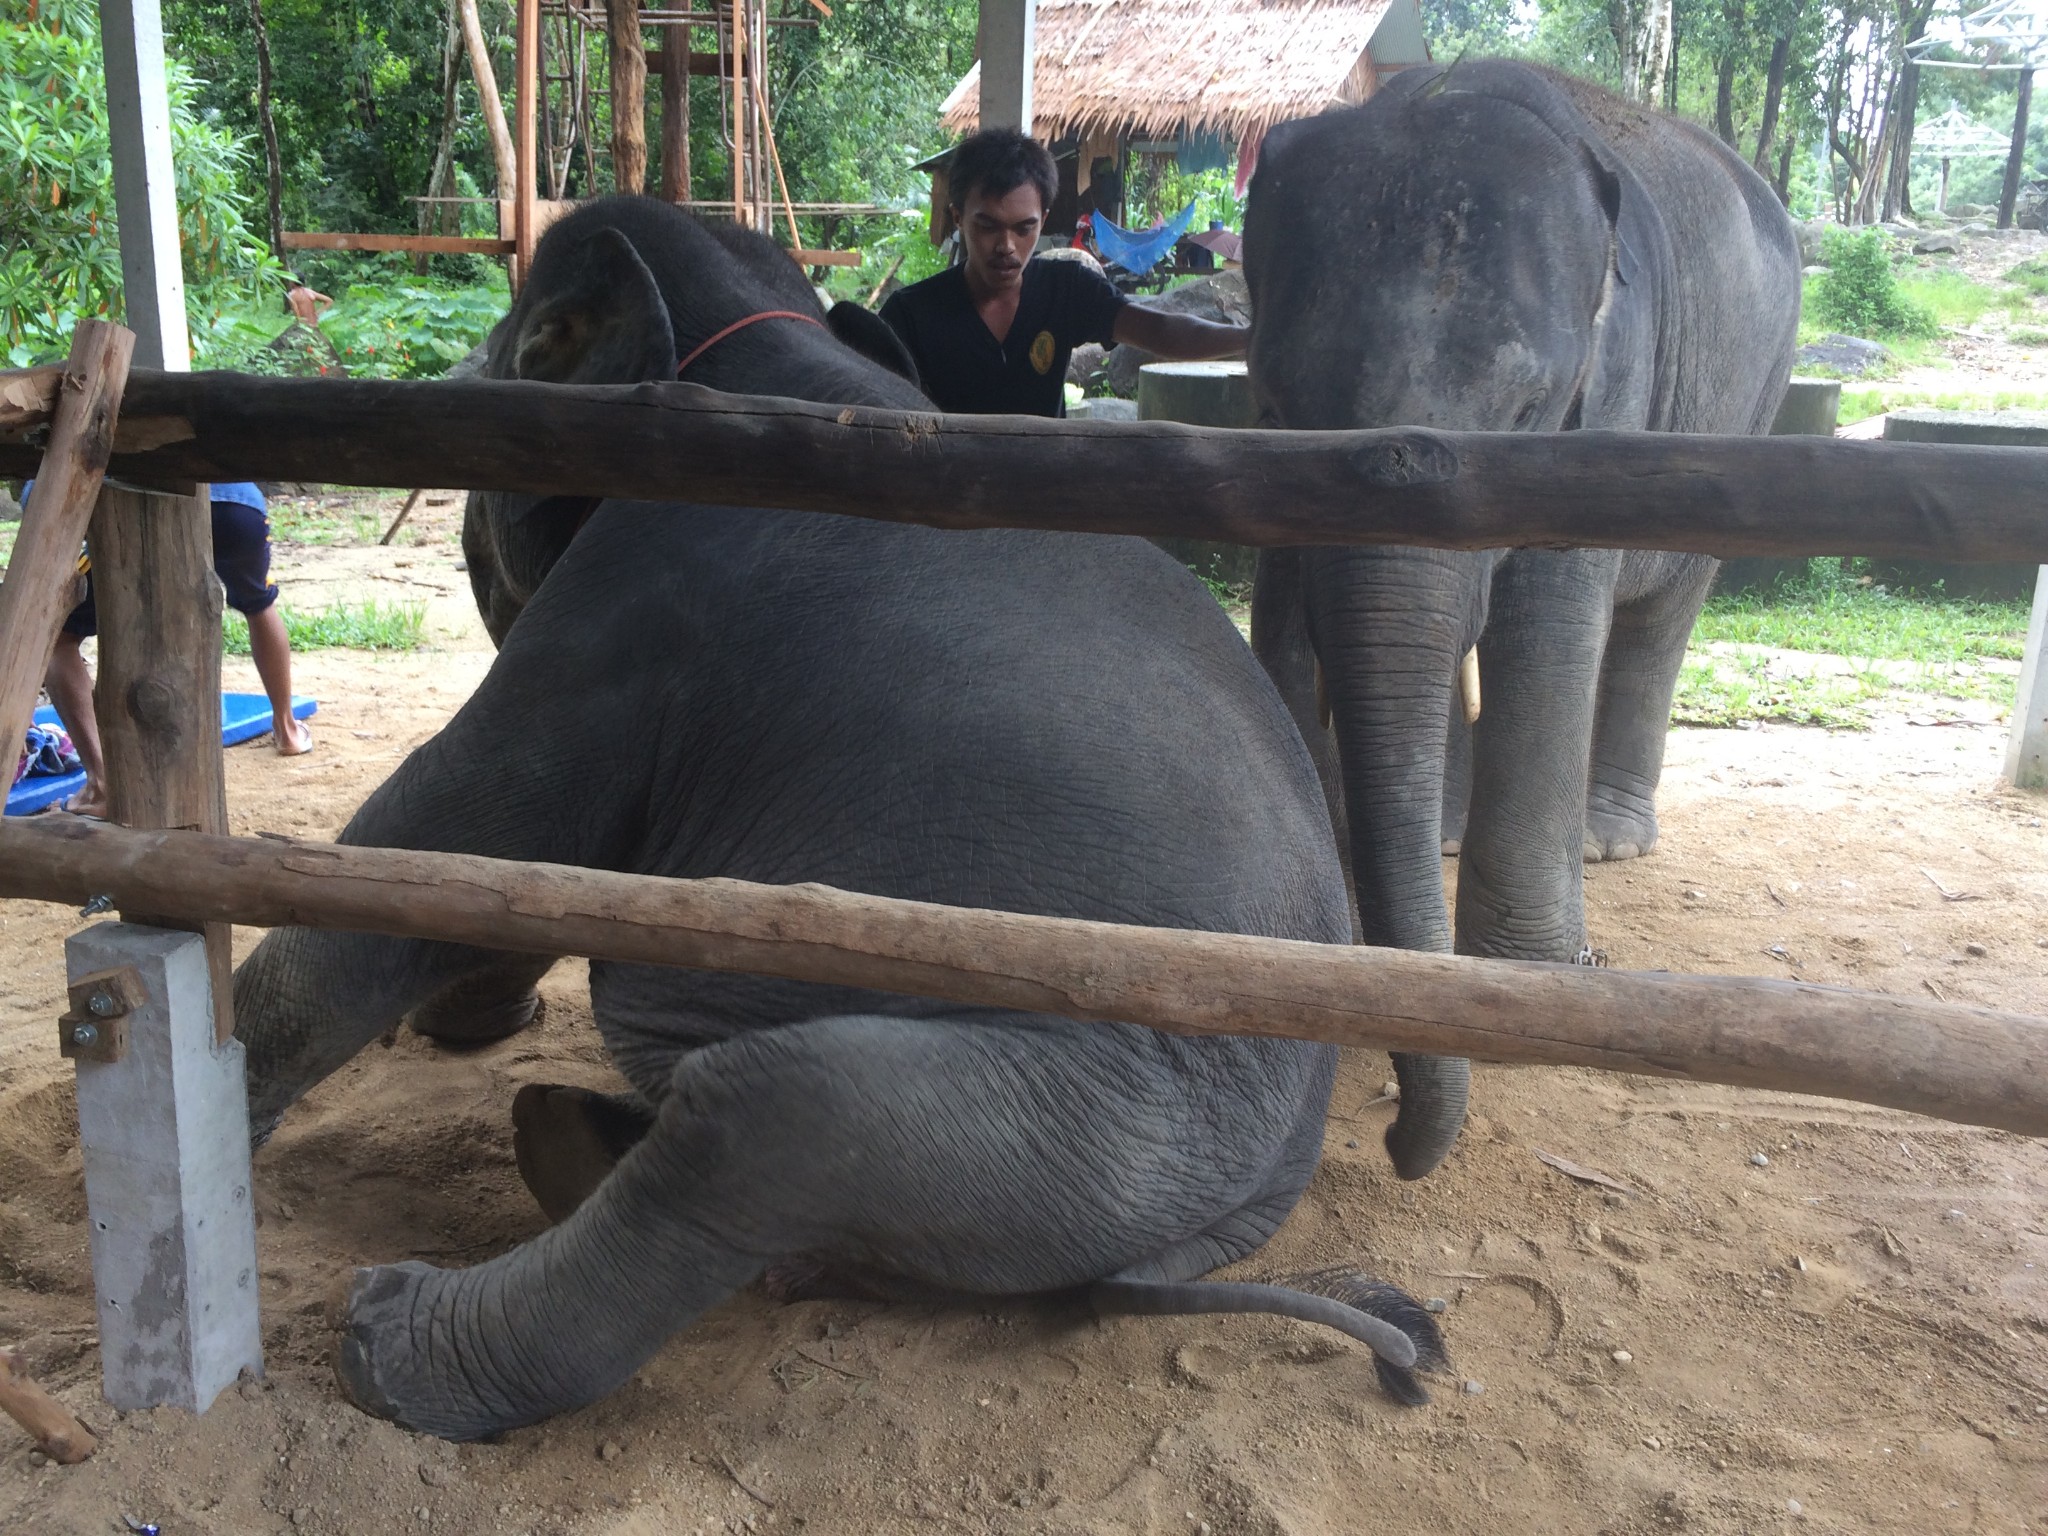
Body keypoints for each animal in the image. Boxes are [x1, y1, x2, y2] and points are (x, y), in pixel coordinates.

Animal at [232, 201, 1449, 1441]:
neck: (767, 353)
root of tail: (1238, 1218)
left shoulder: (635, 610)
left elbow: (463, 825)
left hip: (1093, 1124)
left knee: (769, 1111)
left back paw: (386, 1334)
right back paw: (564, 1147)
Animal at [1228, 57, 1794, 1179]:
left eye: (1528, 414)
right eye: (1271, 405)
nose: (1395, 1142)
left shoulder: (1610, 394)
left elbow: (1548, 620)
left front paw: (1528, 981)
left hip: (1750, 405)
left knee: (1664, 612)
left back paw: (1608, 839)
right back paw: (1452, 834)